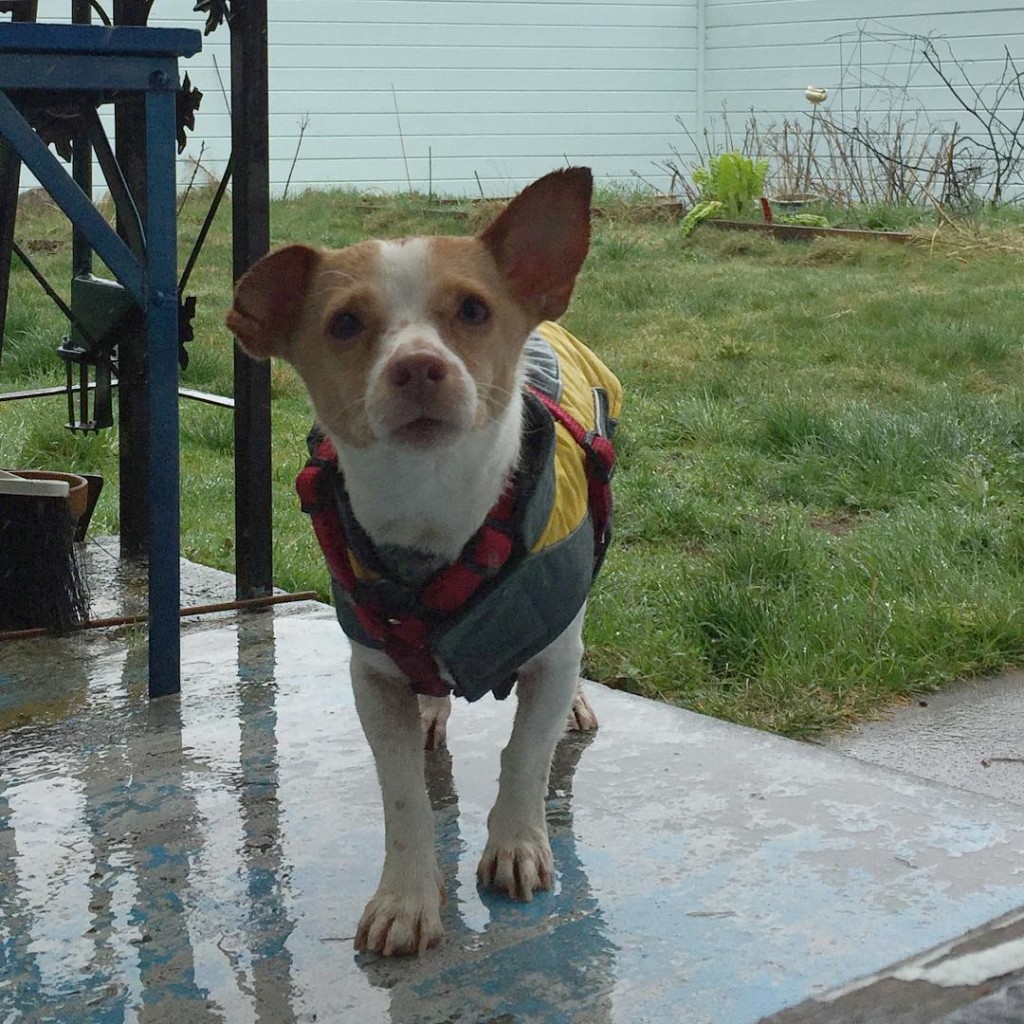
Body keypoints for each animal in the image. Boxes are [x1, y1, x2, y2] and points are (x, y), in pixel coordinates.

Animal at [227, 163, 618, 954]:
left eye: (473, 309)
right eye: (345, 323)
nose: (416, 367)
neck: (436, 508)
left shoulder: (548, 651)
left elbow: (525, 754)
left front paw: (517, 844)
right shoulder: (374, 680)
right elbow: (404, 793)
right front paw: (406, 898)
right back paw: (436, 703)